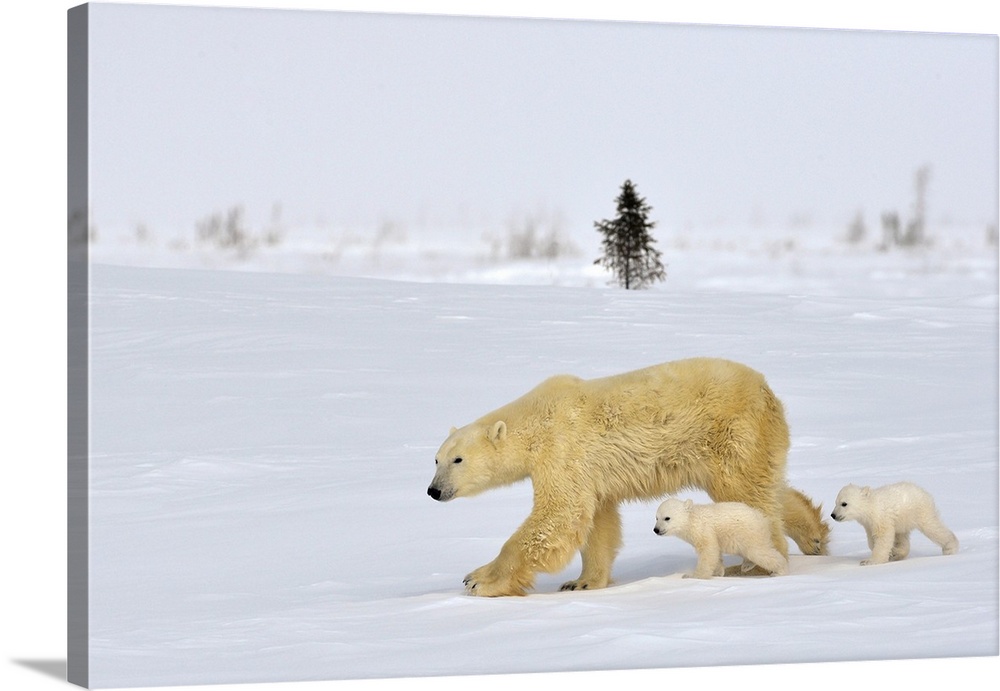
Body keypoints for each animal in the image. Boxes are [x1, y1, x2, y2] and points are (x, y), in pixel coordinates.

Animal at [653, 497, 789, 578]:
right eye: (656, 517)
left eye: (667, 518)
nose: (656, 530)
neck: (692, 519)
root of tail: (762, 518)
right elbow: (715, 553)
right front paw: (718, 573)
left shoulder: (704, 530)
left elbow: (708, 551)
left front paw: (692, 576)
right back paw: (746, 566)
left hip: (748, 533)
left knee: (759, 552)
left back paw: (779, 570)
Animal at [830, 482, 959, 565]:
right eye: (835, 502)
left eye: (844, 503)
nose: (833, 515)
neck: (871, 506)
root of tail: (924, 492)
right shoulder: (868, 524)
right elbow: (872, 540)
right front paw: (892, 552)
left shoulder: (881, 518)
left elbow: (883, 537)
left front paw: (869, 561)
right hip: (902, 521)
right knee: (902, 538)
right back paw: (899, 553)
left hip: (919, 511)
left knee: (932, 527)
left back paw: (950, 548)